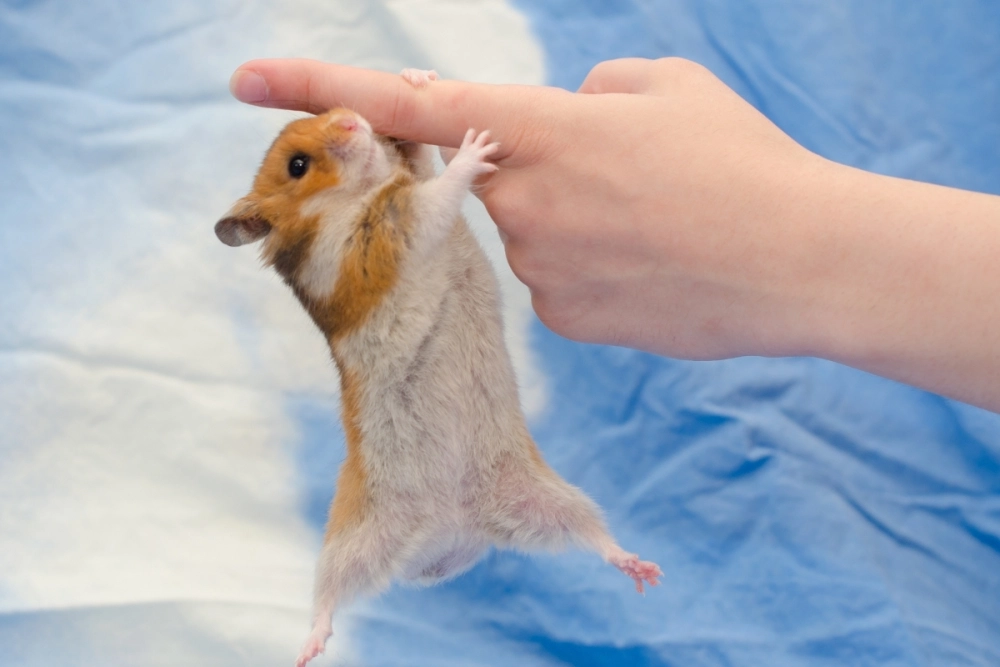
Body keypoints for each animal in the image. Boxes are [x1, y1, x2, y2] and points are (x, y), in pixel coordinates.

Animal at [215, 70, 661, 667]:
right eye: (298, 165)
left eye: (330, 113)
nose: (352, 120)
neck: (355, 194)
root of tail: (446, 544)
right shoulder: (394, 229)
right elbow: (439, 191)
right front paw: (474, 146)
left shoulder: (410, 189)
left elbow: (424, 162)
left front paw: (416, 79)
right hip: (353, 537)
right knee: (328, 597)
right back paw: (307, 650)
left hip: (546, 498)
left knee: (595, 539)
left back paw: (643, 569)